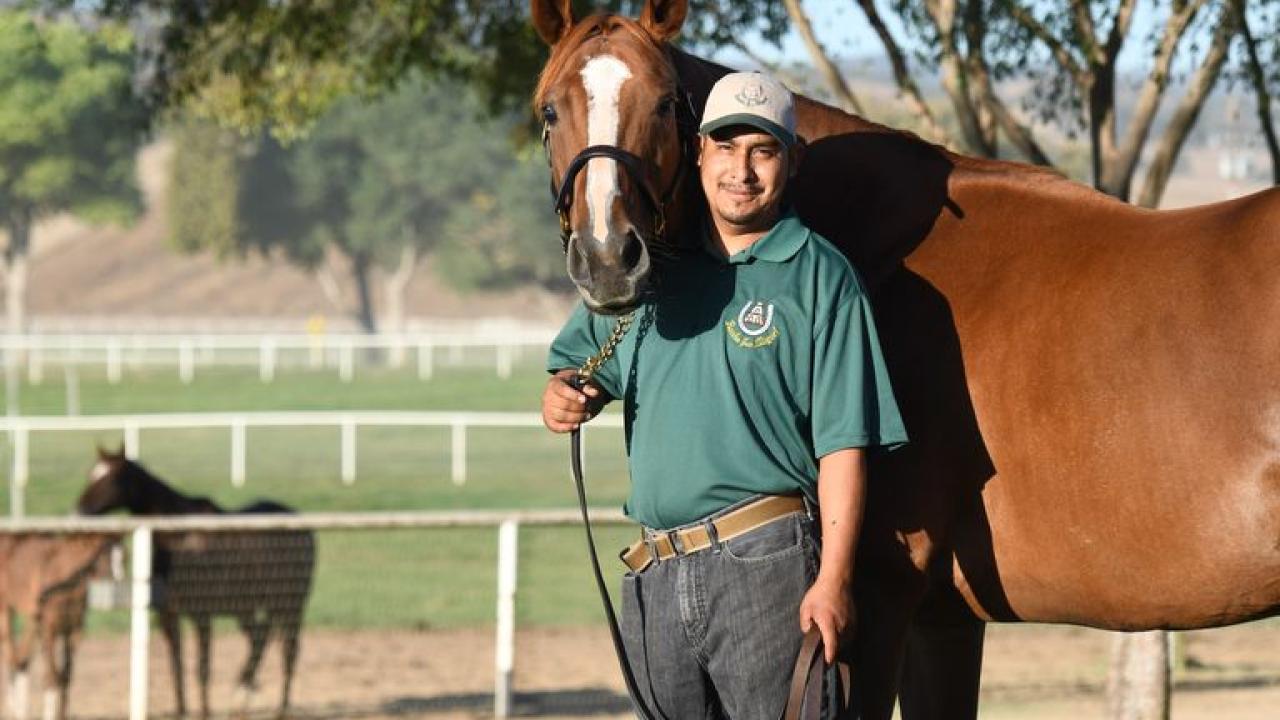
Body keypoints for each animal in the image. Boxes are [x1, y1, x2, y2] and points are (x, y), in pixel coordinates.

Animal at [535, 2, 1280, 712]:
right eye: (549, 109)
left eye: (665, 102)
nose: (609, 257)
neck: (884, 249)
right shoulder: (944, 618)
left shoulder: (874, 599)